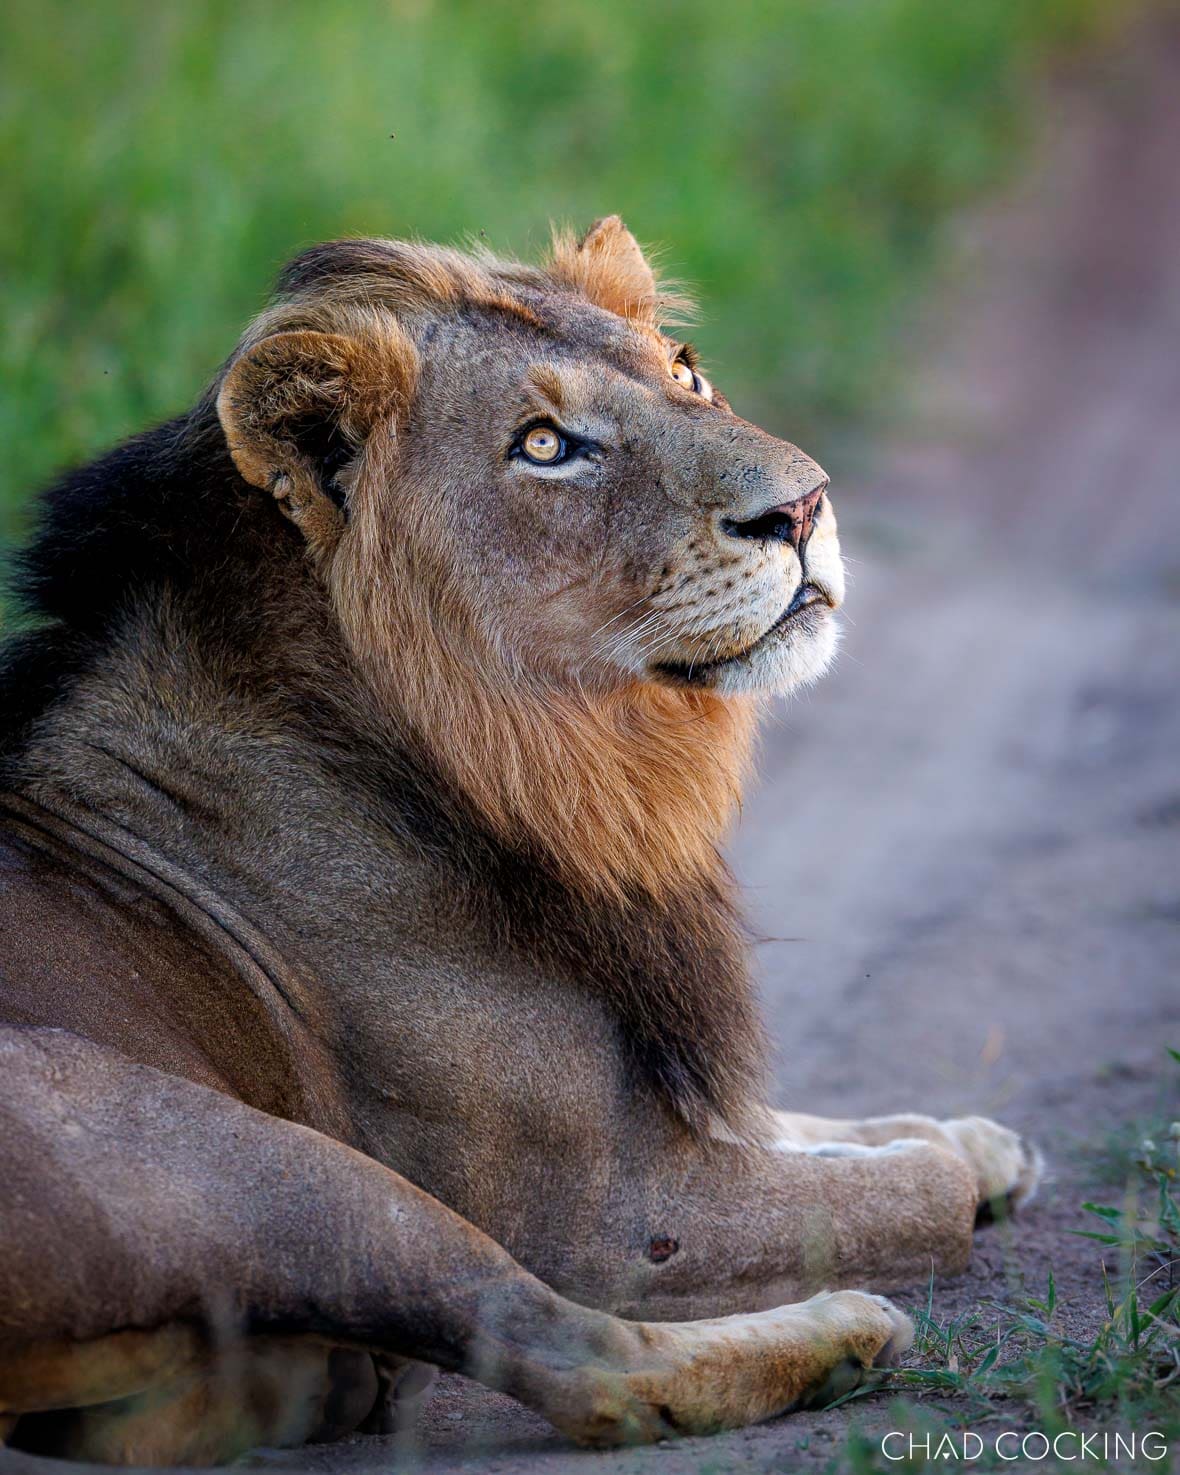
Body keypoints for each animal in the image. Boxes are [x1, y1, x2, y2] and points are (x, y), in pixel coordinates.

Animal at [0, 218, 1040, 1465]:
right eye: (545, 445)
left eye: (686, 372)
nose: (803, 507)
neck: (540, 775)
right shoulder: (613, 1215)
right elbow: (906, 1193)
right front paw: (946, 1170)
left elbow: (804, 1125)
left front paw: (978, 1138)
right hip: (247, 1155)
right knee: (572, 1354)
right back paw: (842, 1334)